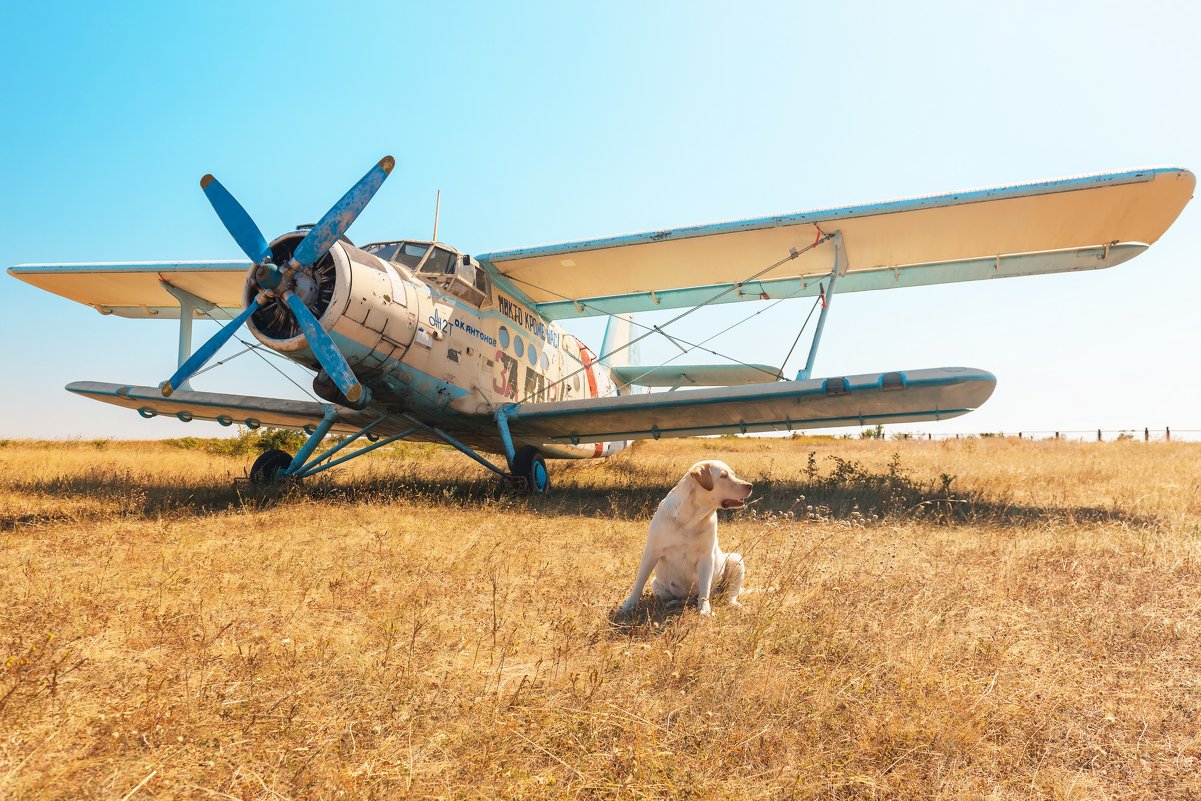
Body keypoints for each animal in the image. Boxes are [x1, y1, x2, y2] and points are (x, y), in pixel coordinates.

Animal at [619, 461, 749, 619]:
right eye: (723, 476)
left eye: (733, 474)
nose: (750, 486)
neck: (692, 518)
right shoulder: (651, 552)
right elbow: (639, 582)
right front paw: (629, 604)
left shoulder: (706, 557)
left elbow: (704, 589)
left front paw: (704, 610)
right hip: (656, 584)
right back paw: (673, 603)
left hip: (735, 559)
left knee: (729, 594)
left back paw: (733, 604)